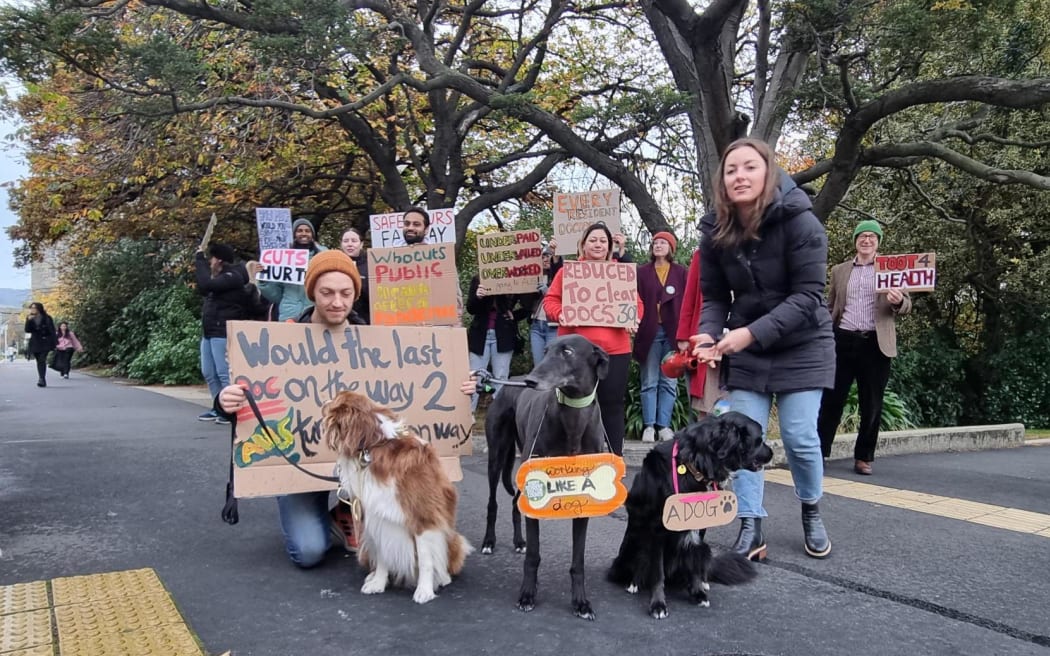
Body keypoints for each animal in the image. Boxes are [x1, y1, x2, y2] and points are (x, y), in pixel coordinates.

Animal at [317, 388, 470, 604]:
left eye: (335, 399)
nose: (324, 401)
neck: (373, 444)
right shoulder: (377, 516)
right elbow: (383, 555)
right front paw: (378, 583)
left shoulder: (423, 518)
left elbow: (426, 560)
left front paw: (424, 590)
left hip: (454, 540)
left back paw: (442, 578)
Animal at [480, 335, 613, 617]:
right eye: (546, 350)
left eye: (567, 351)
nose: (530, 381)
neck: (573, 418)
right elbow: (534, 556)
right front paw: (527, 595)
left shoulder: (582, 497)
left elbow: (578, 561)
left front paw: (581, 602)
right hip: (497, 456)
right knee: (493, 502)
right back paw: (489, 541)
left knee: (514, 503)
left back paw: (519, 541)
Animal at [609, 411, 772, 617]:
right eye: (759, 440)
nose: (771, 453)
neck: (694, 464)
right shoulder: (656, 529)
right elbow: (657, 573)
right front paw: (658, 605)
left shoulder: (698, 527)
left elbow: (693, 563)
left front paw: (698, 593)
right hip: (632, 544)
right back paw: (634, 583)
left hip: (705, 548)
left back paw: (702, 582)